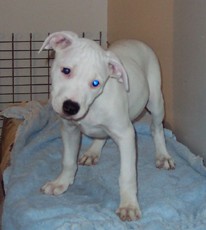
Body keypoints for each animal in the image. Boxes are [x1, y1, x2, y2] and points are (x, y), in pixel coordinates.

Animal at [39, 31, 175, 222]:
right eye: (66, 70)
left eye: (95, 83)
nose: (71, 107)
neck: (94, 105)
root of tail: (134, 40)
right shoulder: (69, 129)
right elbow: (68, 161)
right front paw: (61, 182)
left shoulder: (126, 135)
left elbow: (127, 175)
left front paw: (129, 205)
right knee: (102, 135)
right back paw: (93, 152)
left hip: (155, 100)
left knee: (157, 129)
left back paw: (163, 156)